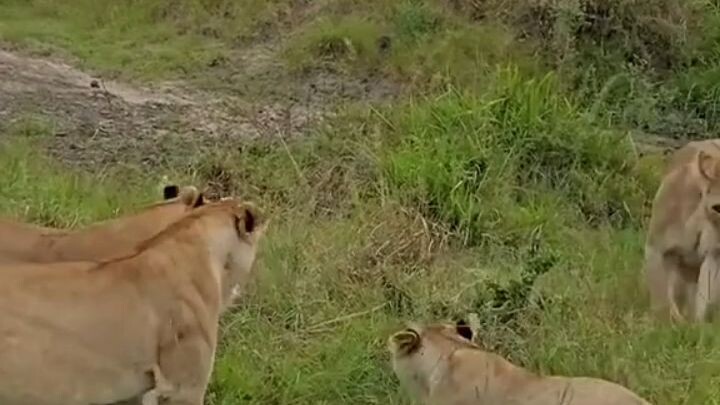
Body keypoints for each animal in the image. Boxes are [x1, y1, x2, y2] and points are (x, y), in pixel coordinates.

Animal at [644, 139, 720, 322]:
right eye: (718, 208)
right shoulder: (656, 248)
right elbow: (661, 297)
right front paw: (665, 321)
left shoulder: (714, 256)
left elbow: (705, 294)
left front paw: (697, 325)